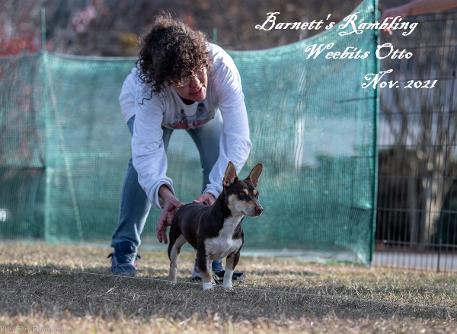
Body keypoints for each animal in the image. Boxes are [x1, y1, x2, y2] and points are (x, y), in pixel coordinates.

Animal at [167, 162, 262, 290]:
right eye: (242, 194)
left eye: (257, 196)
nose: (260, 209)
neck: (231, 222)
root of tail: (183, 206)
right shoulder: (203, 253)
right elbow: (205, 272)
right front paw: (208, 287)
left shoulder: (234, 254)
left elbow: (228, 273)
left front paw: (227, 287)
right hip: (174, 245)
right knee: (173, 264)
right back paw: (172, 281)